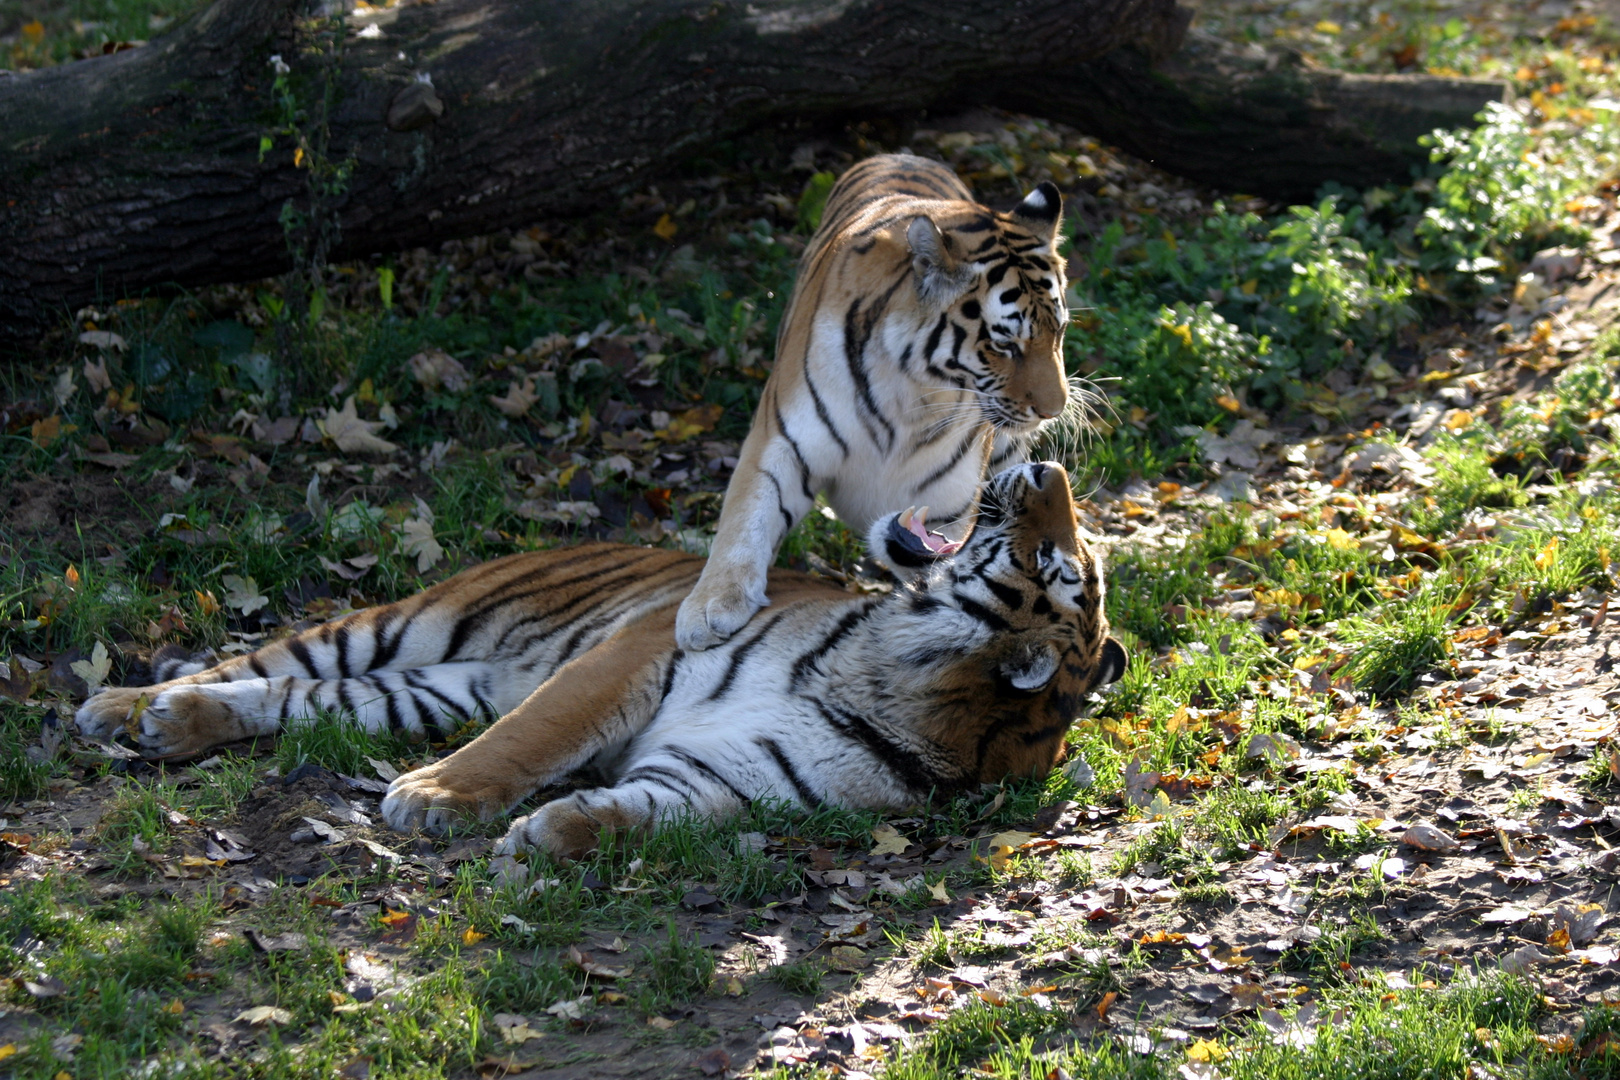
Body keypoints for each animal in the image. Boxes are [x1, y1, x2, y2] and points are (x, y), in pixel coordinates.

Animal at [78, 466, 1127, 861]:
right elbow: (536, 735)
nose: (1046, 469)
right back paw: (124, 707)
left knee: (300, 694)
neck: (886, 680)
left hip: (417, 691)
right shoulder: (642, 652)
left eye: (1056, 559)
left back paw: (170, 726)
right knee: (261, 656)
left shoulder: (730, 778)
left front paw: (556, 831)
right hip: (407, 626)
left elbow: (645, 809)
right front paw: (438, 798)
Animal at [670, 151, 1075, 650]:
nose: (1055, 409)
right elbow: (747, 518)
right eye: (1004, 345)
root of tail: (906, 154)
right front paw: (712, 606)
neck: (913, 391)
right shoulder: (781, 439)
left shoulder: (950, 500)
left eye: (1059, 332)